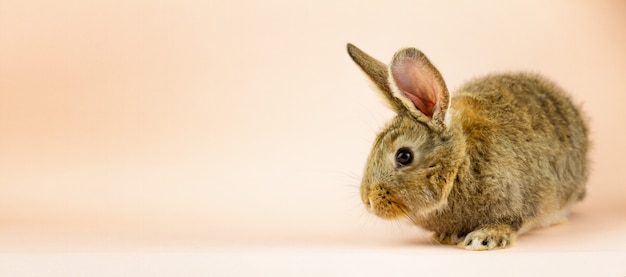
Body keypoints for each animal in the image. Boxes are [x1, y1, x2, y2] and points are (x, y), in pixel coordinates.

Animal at [346, 43, 588, 250]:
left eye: (403, 156)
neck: (460, 163)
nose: (367, 201)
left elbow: (509, 221)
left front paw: (484, 239)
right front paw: (447, 236)